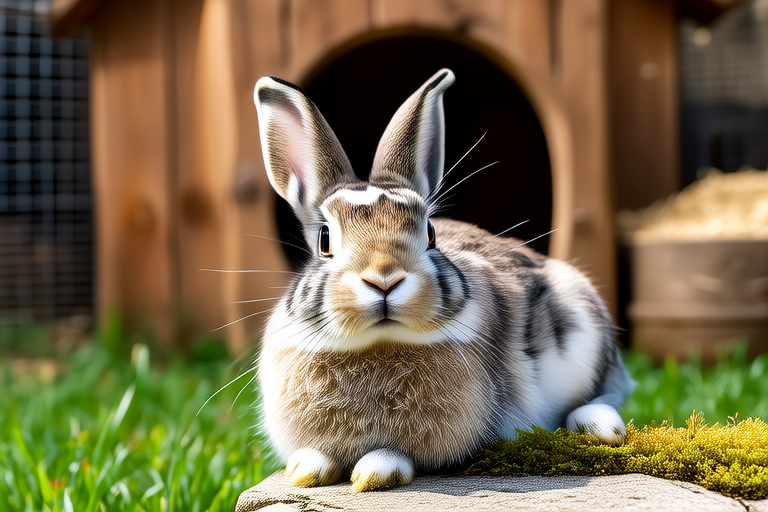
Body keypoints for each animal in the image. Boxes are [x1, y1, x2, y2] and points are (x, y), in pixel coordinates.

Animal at [252, 69, 634, 493]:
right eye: (324, 240)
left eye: (431, 233)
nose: (385, 279)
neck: (380, 341)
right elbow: (317, 455)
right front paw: (307, 471)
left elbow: (394, 454)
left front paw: (374, 473)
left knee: (608, 394)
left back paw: (600, 428)